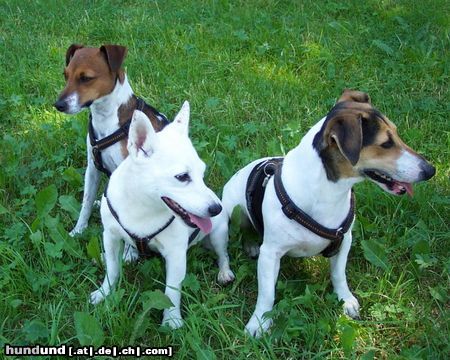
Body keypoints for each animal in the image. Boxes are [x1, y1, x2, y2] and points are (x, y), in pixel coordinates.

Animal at [55, 45, 168, 242]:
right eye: (65, 75)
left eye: (86, 78)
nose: (58, 104)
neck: (107, 121)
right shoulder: (92, 169)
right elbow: (85, 203)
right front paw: (78, 230)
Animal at [89, 102, 234, 330]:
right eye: (182, 177)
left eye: (202, 173)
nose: (216, 208)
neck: (143, 204)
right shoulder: (110, 237)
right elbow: (112, 269)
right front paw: (104, 292)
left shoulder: (175, 256)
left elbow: (171, 291)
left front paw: (172, 320)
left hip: (219, 234)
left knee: (223, 254)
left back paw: (224, 272)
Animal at [218, 90, 436, 338]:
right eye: (386, 143)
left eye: (397, 134)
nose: (431, 170)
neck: (328, 191)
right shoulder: (270, 254)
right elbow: (267, 294)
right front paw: (258, 322)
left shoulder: (344, 240)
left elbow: (339, 274)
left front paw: (346, 300)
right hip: (233, 213)